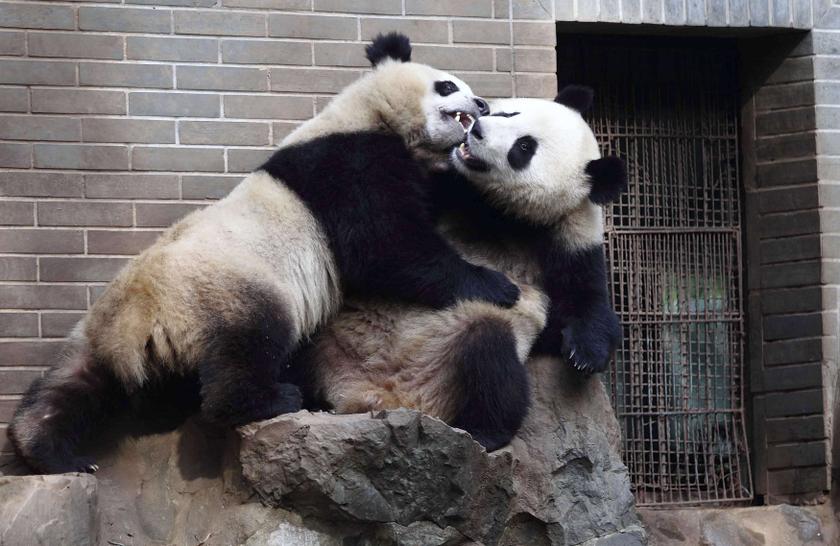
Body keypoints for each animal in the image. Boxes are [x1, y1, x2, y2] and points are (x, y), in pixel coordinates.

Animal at [8, 33, 520, 474]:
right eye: (448, 85)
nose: (482, 105)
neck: (367, 111)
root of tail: (140, 319)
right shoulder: (347, 164)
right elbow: (385, 247)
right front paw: (498, 286)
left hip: (98, 335)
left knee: (77, 387)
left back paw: (48, 451)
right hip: (226, 291)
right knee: (252, 342)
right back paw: (272, 400)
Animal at [303, 87, 627, 450]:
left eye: (524, 148)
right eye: (508, 114)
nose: (478, 130)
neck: (503, 213)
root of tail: (373, 398)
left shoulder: (569, 240)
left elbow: (583, 299)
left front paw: (585, 353)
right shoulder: (443, 190)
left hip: (448, 364)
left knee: (491, 355)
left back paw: (484, 433)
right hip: (331, 339)